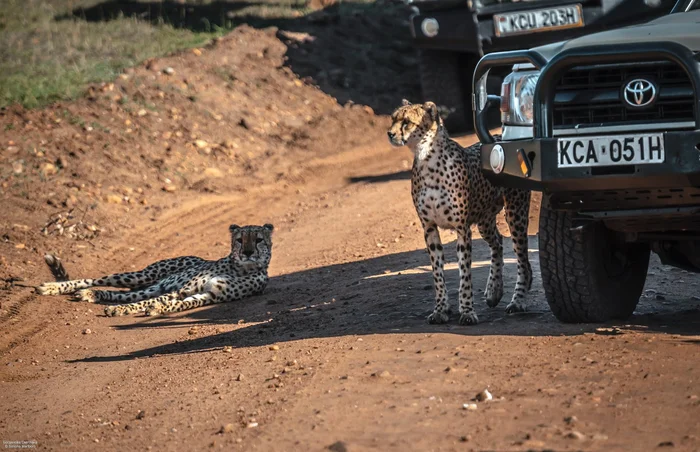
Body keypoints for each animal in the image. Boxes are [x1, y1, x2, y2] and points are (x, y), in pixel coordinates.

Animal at [36, 224, 274, 316]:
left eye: (258, 239)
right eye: (240, 239)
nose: (248, 252)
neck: (239, 268)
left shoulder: (210, 295)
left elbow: (181, 304)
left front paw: (159, 309)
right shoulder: (182, 289)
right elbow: (153, 302)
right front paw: (147, 308)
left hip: (150, 286)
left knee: (123, 294)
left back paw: (93, 296)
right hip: (143, 275)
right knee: (96, 280)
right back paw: (54, 288)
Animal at [388, 100, 532, 324]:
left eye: (407, 122)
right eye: (393, 119)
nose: (390, 133)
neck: (427, 159)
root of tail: (498, 136)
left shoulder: (462, 228)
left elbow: (465, 273)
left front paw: (466, 311)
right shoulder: (429, 228)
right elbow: (437, 273)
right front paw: (440, 309)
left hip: (515, 212)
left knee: (522, 257)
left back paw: (518, 301)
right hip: (484, 219)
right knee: (498, 242)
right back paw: (494, 291)